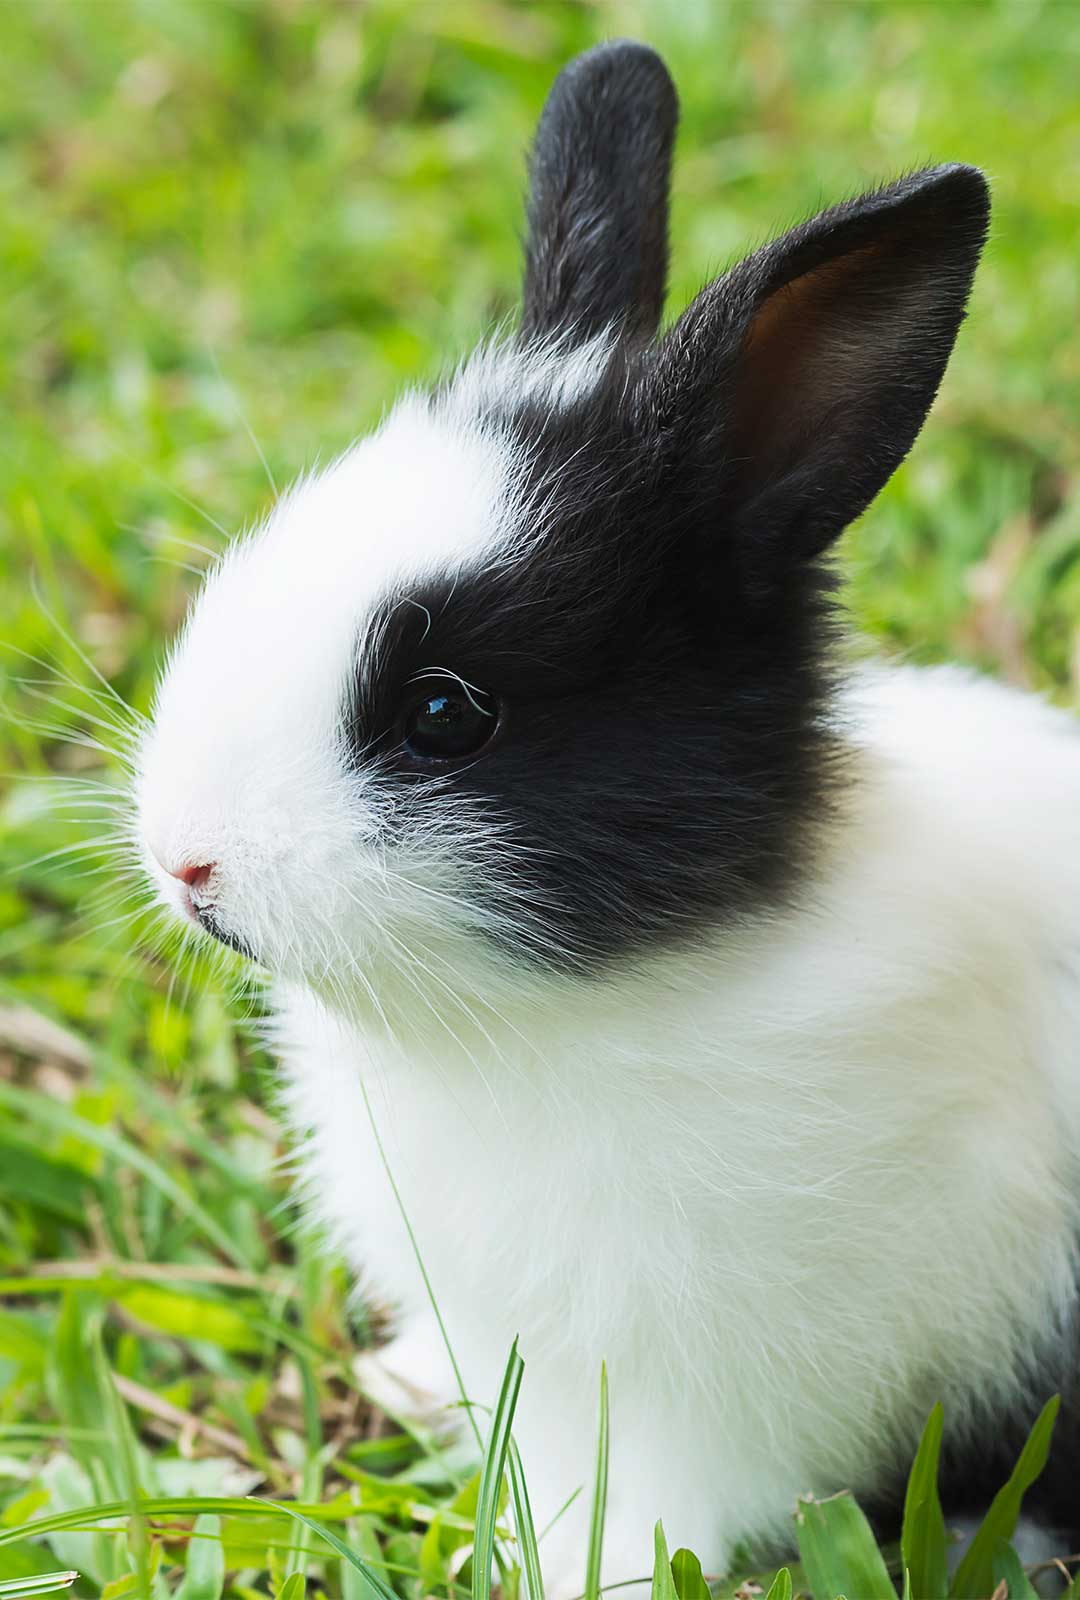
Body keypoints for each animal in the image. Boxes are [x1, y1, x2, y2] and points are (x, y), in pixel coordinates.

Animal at [135, 37, 1080, 1592]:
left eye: (446, 714)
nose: (185, 861)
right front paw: (416, 1397)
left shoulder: (721, 1394)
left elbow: (669, 1502)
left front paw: (590, 1570)